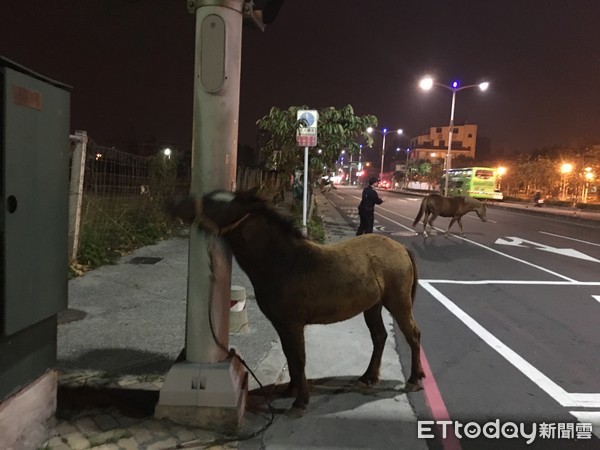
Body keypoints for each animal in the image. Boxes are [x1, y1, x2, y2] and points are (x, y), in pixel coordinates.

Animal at [166, 190, 424, 418]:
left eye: (218, 204)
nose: (174, 202)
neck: (284, 263)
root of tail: (402, 248)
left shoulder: (293, 324)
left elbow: (299, 359)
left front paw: (300, 402)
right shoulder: (281, 324)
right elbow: (290, 356)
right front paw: (290, 390)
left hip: (398, 302)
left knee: (413, 335)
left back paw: (413, 380)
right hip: (373, 306)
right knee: (379, 336)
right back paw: (368, 377)